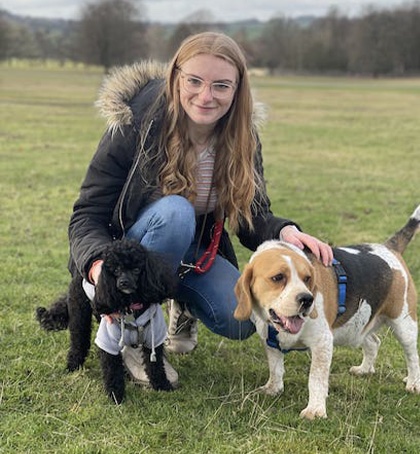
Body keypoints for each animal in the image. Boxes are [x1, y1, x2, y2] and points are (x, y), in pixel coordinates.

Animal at [35, 239, 175, 402]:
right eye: (116, 269)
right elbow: (112, 369)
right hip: (79, 313)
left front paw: (162, 386)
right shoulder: (108, 340)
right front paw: (116, 395)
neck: (130, 305)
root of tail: (79, 273)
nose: (123, 283)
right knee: (79, 340)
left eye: (136, 269)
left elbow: (156, 365)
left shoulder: (154, 336)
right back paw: (73, 365)